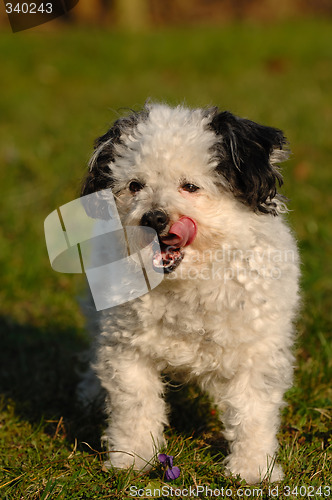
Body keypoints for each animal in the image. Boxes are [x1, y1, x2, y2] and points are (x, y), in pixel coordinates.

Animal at [79, 102, 300, 484]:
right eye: (134, 185)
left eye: (190, 186)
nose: (154, 218)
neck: (187, 284)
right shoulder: (127, 349)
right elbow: (134, 407)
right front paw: (132, 459)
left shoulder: (256, 353)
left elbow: (252, 414)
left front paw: (253, 469)